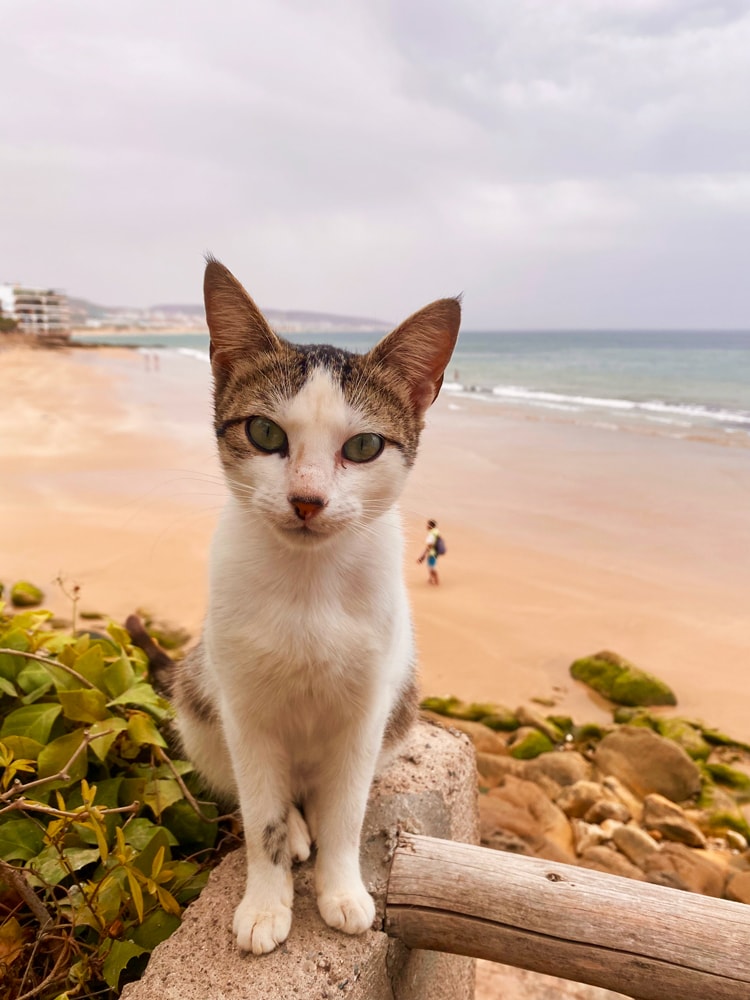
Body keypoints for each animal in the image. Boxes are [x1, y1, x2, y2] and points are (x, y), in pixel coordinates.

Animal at [173, 258, 462, 952]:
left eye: (362, 447)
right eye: (265, 432)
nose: (307, 500)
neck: (308, 585)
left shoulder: (366, 711)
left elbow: (347, 811)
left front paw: (343, 890)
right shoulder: (242, 708)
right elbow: (263, 814)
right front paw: (266, 903)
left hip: (402, 701)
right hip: (195, 695)